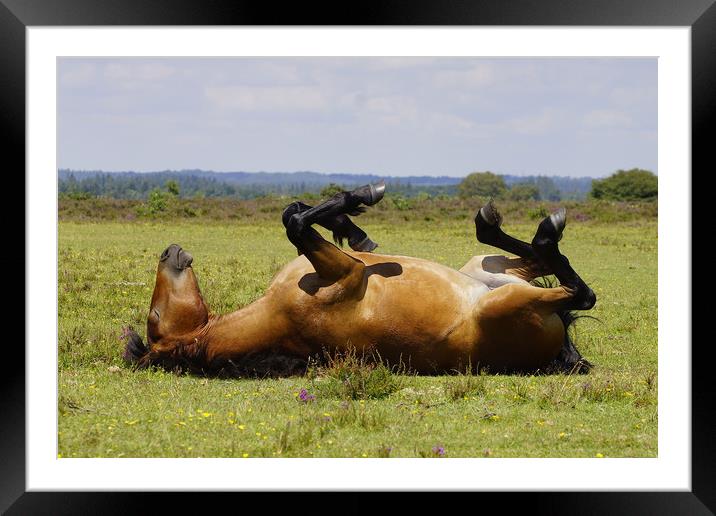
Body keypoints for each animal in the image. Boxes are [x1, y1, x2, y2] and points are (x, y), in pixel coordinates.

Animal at [121, 183, 592, 376]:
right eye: (155, 317)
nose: (169, 251)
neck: (277, 319)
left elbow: (293, 211)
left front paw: (353, 224)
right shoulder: (346, 274)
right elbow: (295, 223)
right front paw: (361, 199)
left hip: (487, 267)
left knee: (528, 258)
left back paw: (501, 225)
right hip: (507, 303)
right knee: (579, 292)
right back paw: (546, 232)